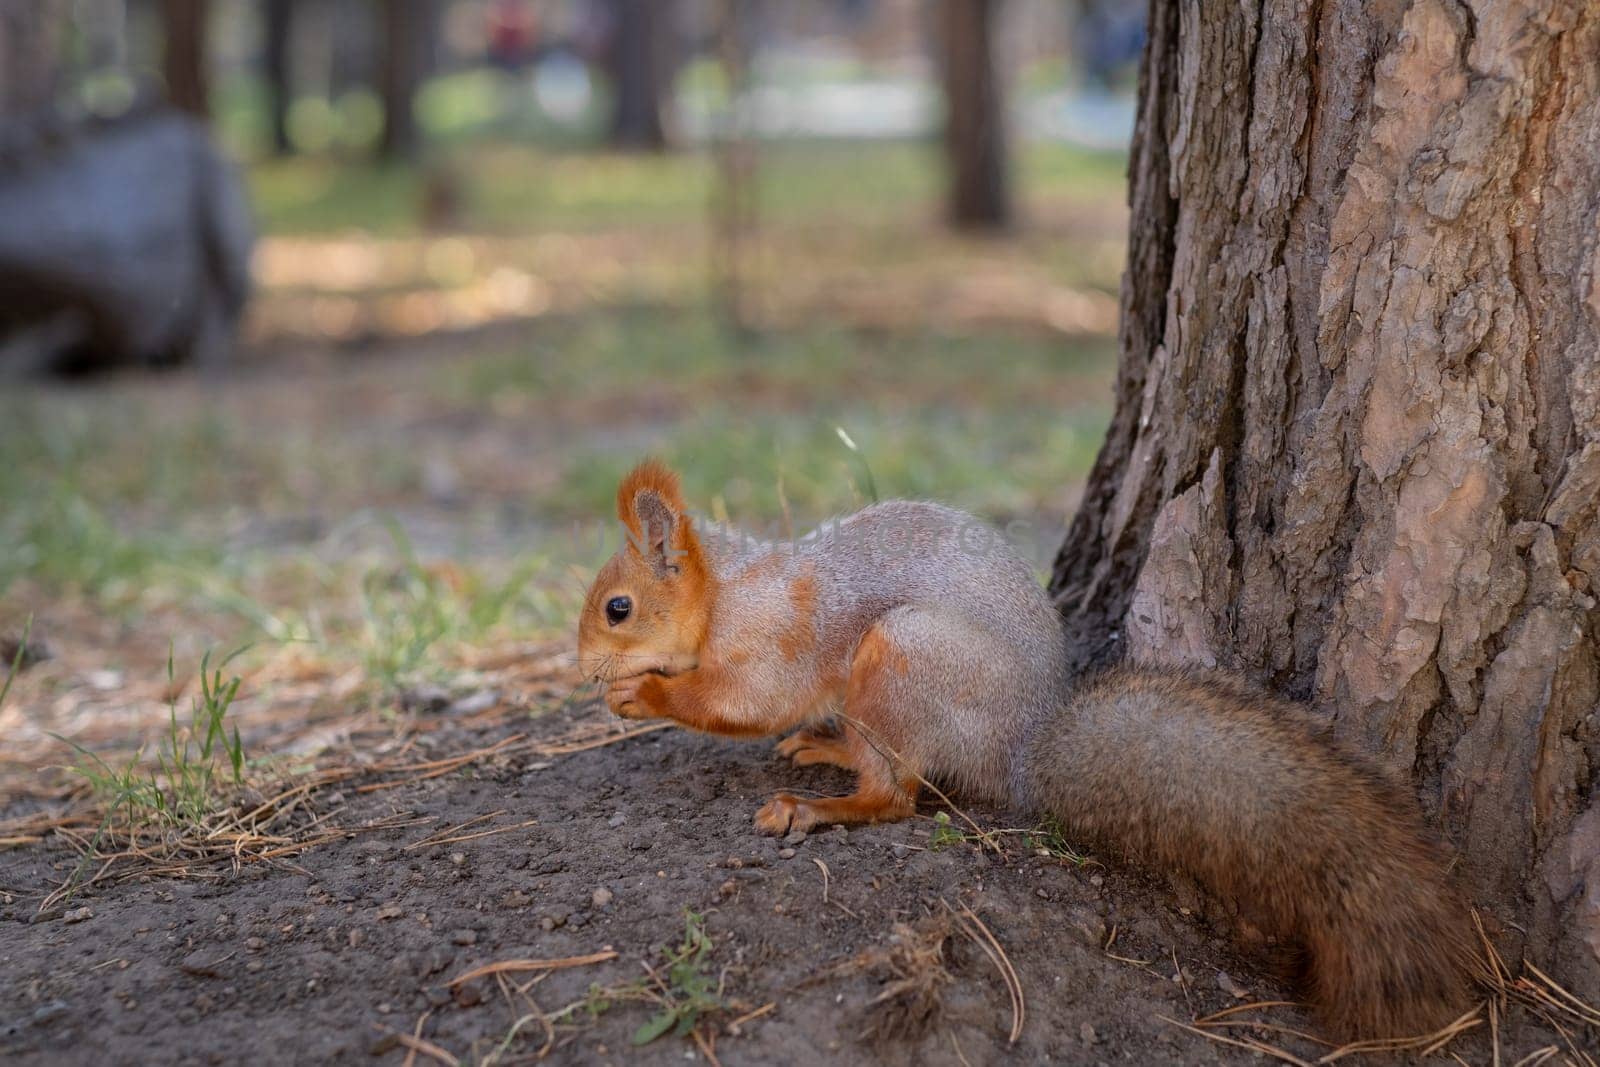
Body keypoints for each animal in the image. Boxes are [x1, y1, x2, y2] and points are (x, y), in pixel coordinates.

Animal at [572, 460, 1472, 1043]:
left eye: (618, 608)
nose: (580, 664)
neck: (728, 592)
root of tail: (1022, 747)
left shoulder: (777, 637)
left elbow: (747, 700)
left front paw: (644, 695)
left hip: (905, 657)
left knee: (896, 795)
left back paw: (819, 807)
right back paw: (827, 746)